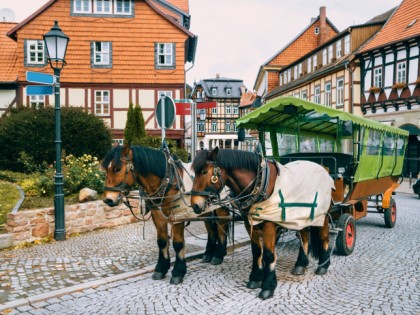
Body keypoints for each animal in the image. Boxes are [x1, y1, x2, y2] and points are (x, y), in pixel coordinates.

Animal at [102, 146, 230, 286]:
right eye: (106, 169)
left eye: (118, 169)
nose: (108, 199)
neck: (168, 181)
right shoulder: (157, 216)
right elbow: (162, 241)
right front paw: (161, 268)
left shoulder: (178, 216)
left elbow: (178, 244)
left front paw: (178, 272)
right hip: (204, 209)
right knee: (211, 229)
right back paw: (208, 254)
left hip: (221, 207)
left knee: (222, 228)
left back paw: (218, 255)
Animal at [191, 148, 334, 302]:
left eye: (204, 171)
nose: (195, 205)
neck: (259, 183)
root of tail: (323, 168)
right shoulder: (249, 223)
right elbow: (256, 251)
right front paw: (255, 278)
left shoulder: (269, 224)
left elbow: (269, 255)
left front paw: (268, 286)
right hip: (301, 217)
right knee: (304, 237)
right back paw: (301, 264)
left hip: (323, 215)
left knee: (324, 237)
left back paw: (323, 265)